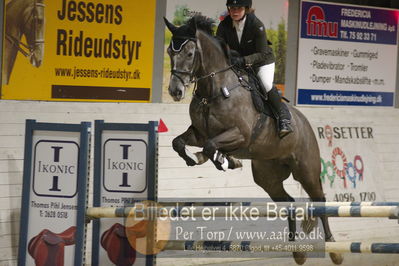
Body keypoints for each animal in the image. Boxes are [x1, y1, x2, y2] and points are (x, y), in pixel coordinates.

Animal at [164, 15, 346, 264]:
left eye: (190, 53)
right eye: (169, 52)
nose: (175, 92)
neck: (214, 90)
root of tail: (305, 123)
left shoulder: (240, 134)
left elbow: (211, 146)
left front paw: (224, 160)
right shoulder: (199, 134)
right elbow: (179, 143)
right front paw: (199, 158)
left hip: (306, 171)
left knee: (320, 200)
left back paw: (334, 248)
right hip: (267, 176)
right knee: (289, 202)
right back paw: (296, 250)